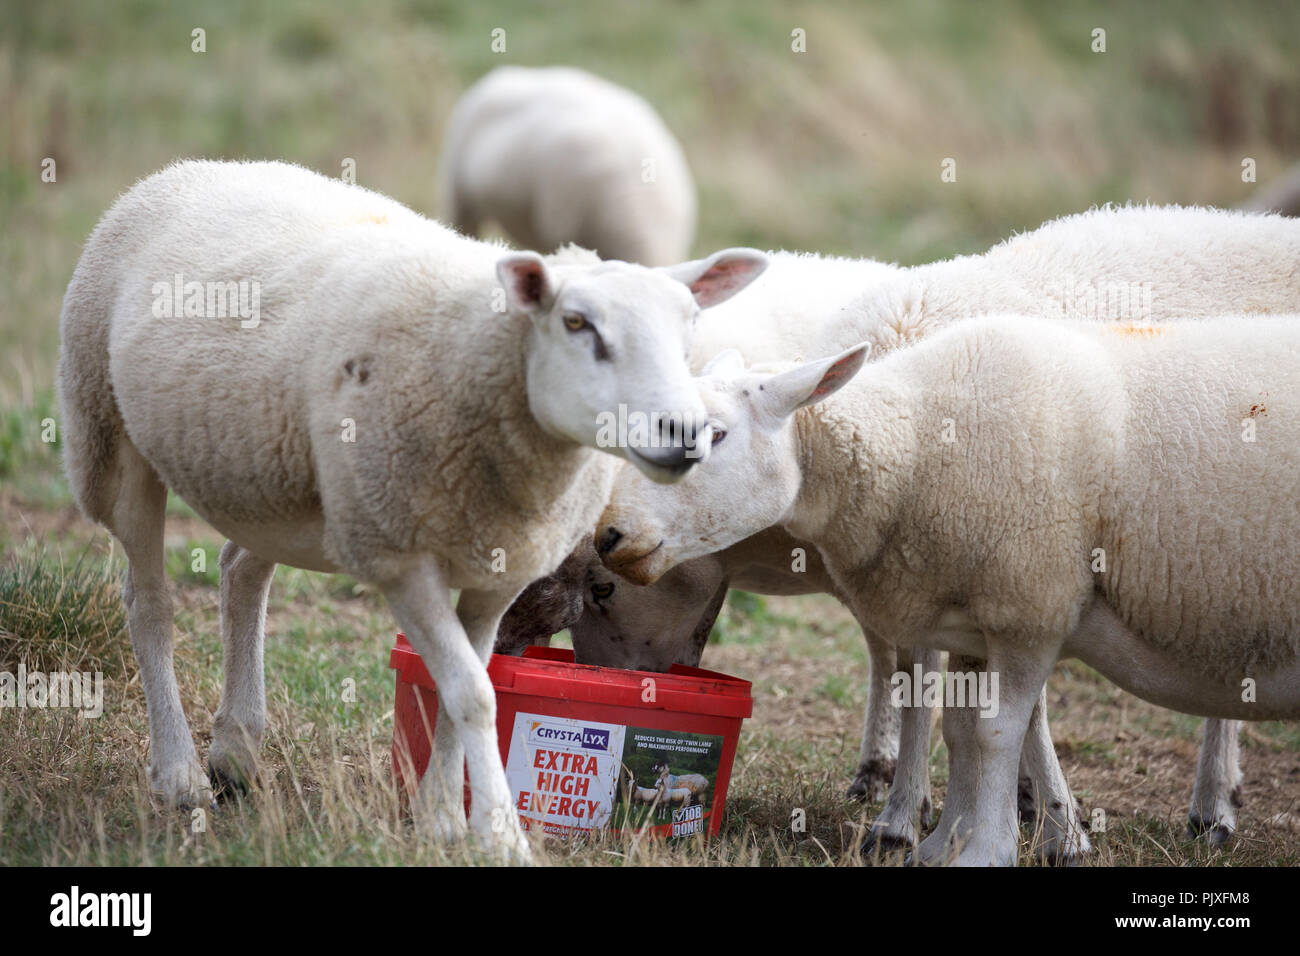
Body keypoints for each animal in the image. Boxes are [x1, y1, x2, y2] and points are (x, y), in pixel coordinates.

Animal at [56, 158, 766, 862]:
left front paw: (440, 818)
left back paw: (235, 753)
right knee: (148, 601)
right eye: (576, 323)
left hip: (270, 475)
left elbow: (468, 687)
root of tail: (191, 167)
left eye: (688, 330)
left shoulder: (498, 566)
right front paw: (497, 834)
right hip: (107, 431)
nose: (683, 433)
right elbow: (473, 695)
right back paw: (180, 774)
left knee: (239, 572)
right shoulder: (400, 557)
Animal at [512, 204, 1300, 853]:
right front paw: (924, 809)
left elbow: (997, 706)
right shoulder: (924, 565)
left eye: (602, 588)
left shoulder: (1019, 564)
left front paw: (1043, 821)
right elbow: (924, 684)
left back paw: (1213, 803)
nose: (613, 693)